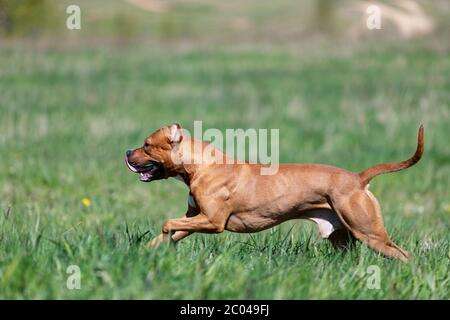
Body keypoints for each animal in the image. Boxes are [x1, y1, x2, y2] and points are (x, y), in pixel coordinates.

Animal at [125, 124, 424, 262]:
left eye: (147, 144)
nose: (127, 151)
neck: (200, 165)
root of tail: (358, 179)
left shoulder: (212, 222)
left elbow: (168, 224)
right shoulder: (194, 218)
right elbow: (170, 232)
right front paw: (142, 253)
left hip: (369, 232)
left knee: (406, 256)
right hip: (342, 237)